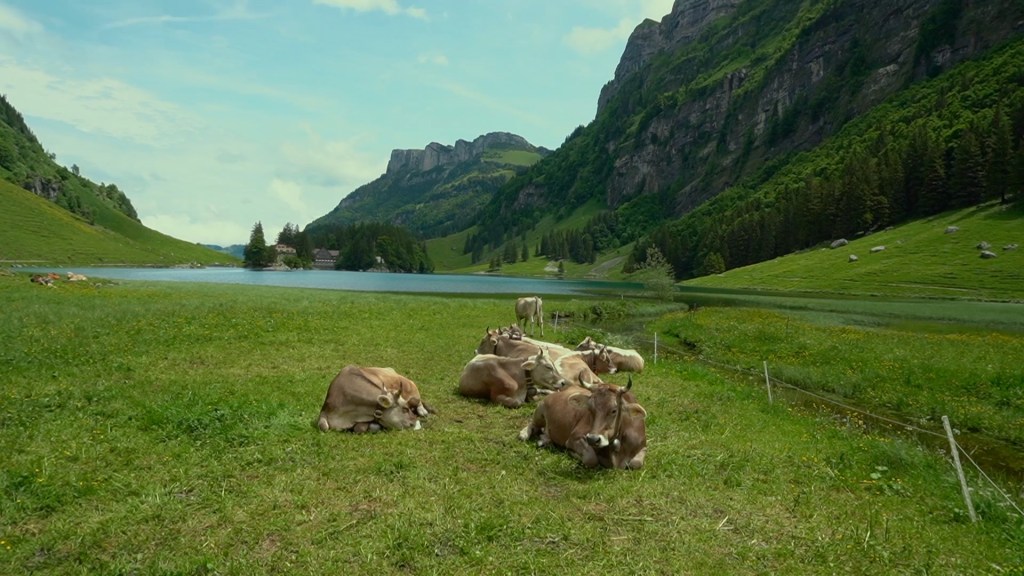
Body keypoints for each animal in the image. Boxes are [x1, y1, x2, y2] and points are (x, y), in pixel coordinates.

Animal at [518, 375, 647, 469]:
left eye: (614, 410)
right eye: (589, 408)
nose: (593, 439)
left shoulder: (643, 446)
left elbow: (636, 463)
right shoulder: (574, 437)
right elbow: (591, 459)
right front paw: (573, 453)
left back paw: (545, 440)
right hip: (540, 410)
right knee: (532, 424)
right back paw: (524, 434)